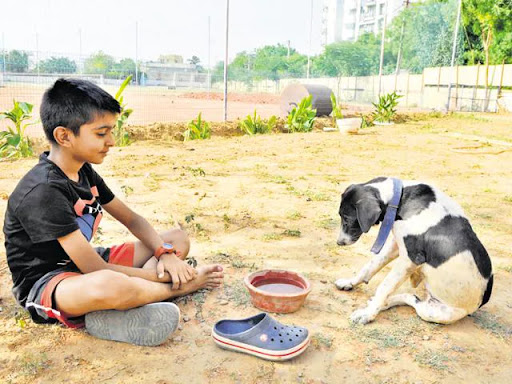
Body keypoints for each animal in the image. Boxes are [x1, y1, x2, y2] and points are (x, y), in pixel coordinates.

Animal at [336, 177, 492, 324]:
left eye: (346, 218)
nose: (339, 242)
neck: (401, 197)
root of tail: (476, 306)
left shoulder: (410, 260)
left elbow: (384, 287)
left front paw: (367, 314)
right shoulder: (395, 245)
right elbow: (370, 266)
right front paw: (350, 282)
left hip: (434, 313)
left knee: (413, 299)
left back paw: (384, 303)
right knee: (412, 296)